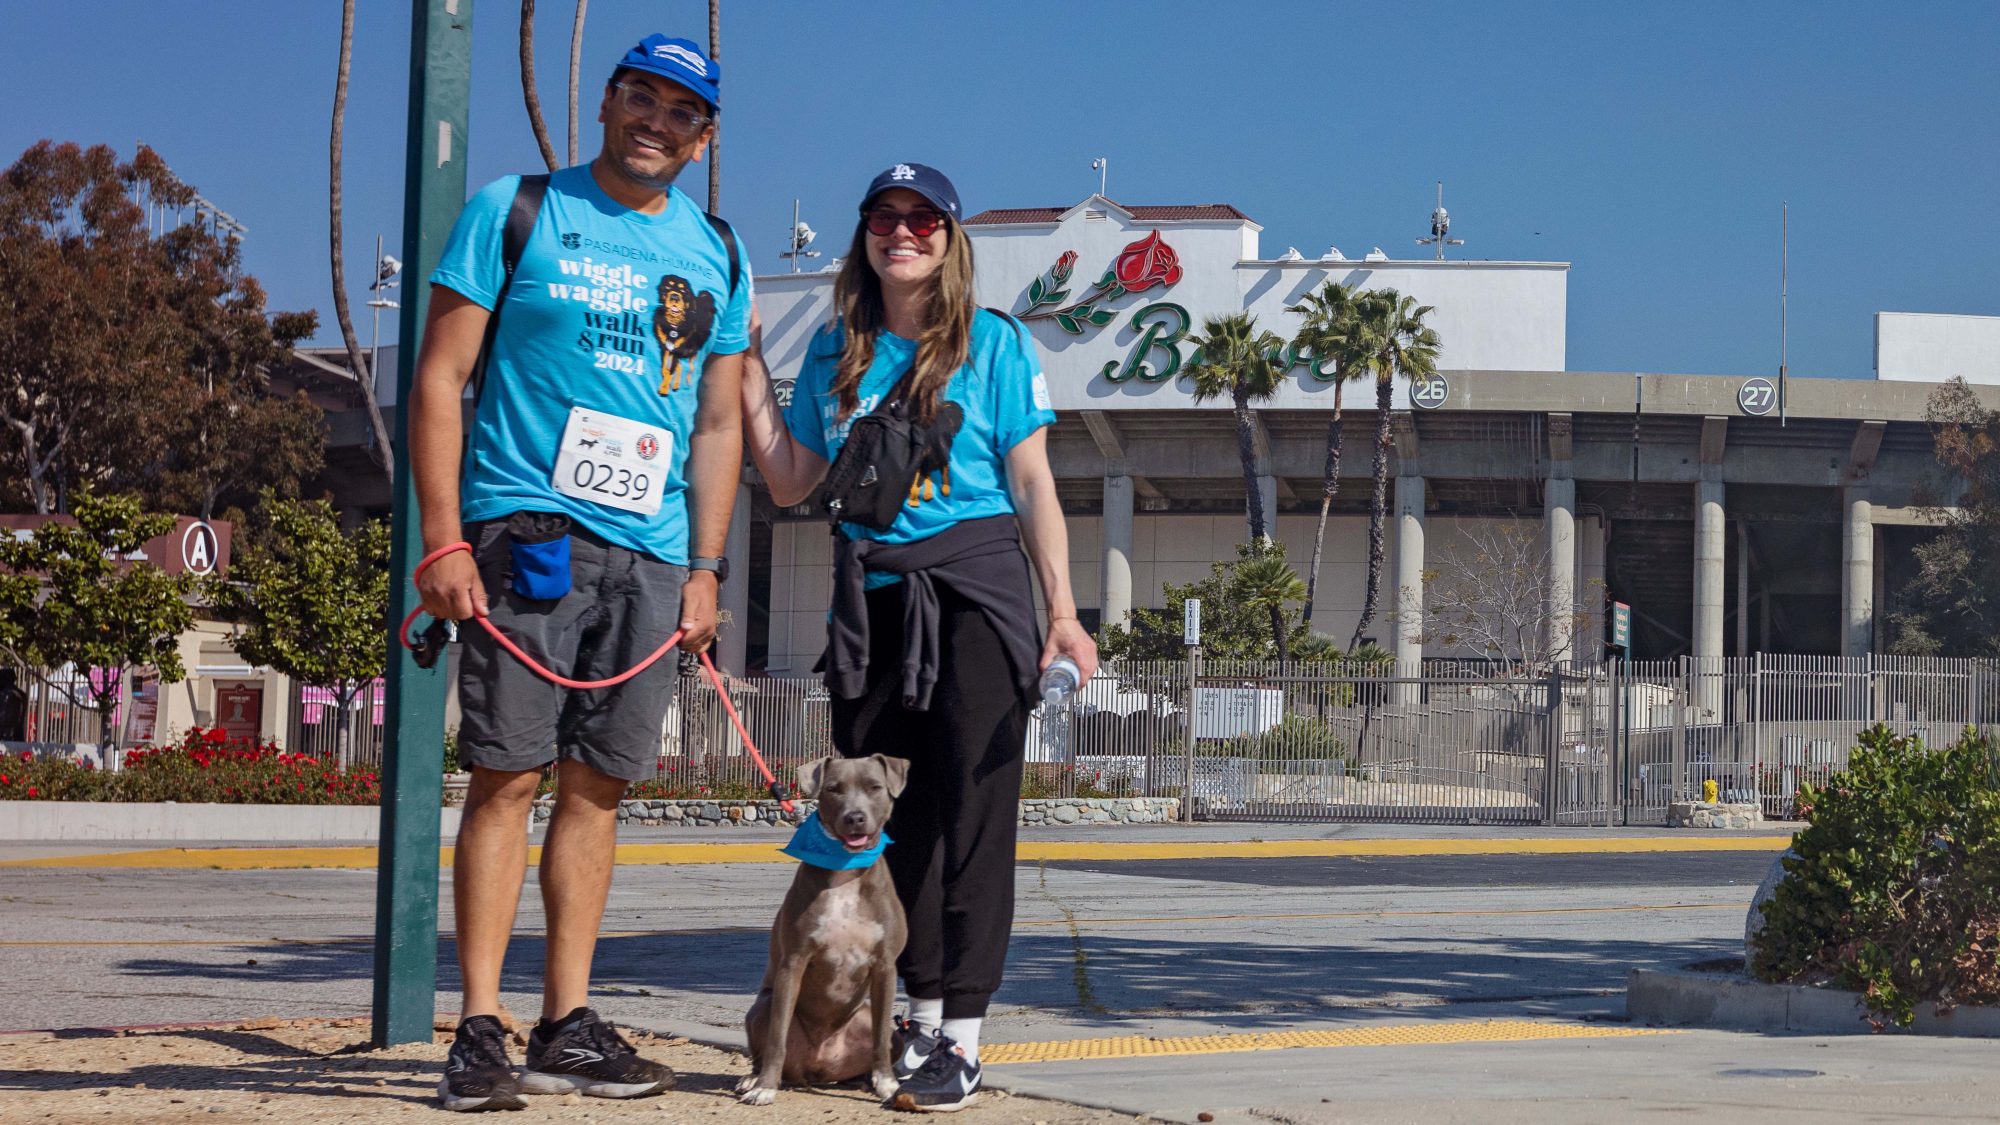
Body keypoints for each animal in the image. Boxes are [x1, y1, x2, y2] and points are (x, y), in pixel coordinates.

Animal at [740, 752, 912, 1104]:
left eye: (874, 787)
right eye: (834, 789)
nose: (855, 817)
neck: (846, 868)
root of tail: (819, 1066)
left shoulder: (885, 965)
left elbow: (879, 1039)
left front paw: (886, 1083)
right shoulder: (793, 962)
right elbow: (777, 1037)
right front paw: (765, 1087)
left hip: (877, 1022)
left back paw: (866, 1080)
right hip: (761, 1006)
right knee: (765, 1045)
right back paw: (754, 1079)